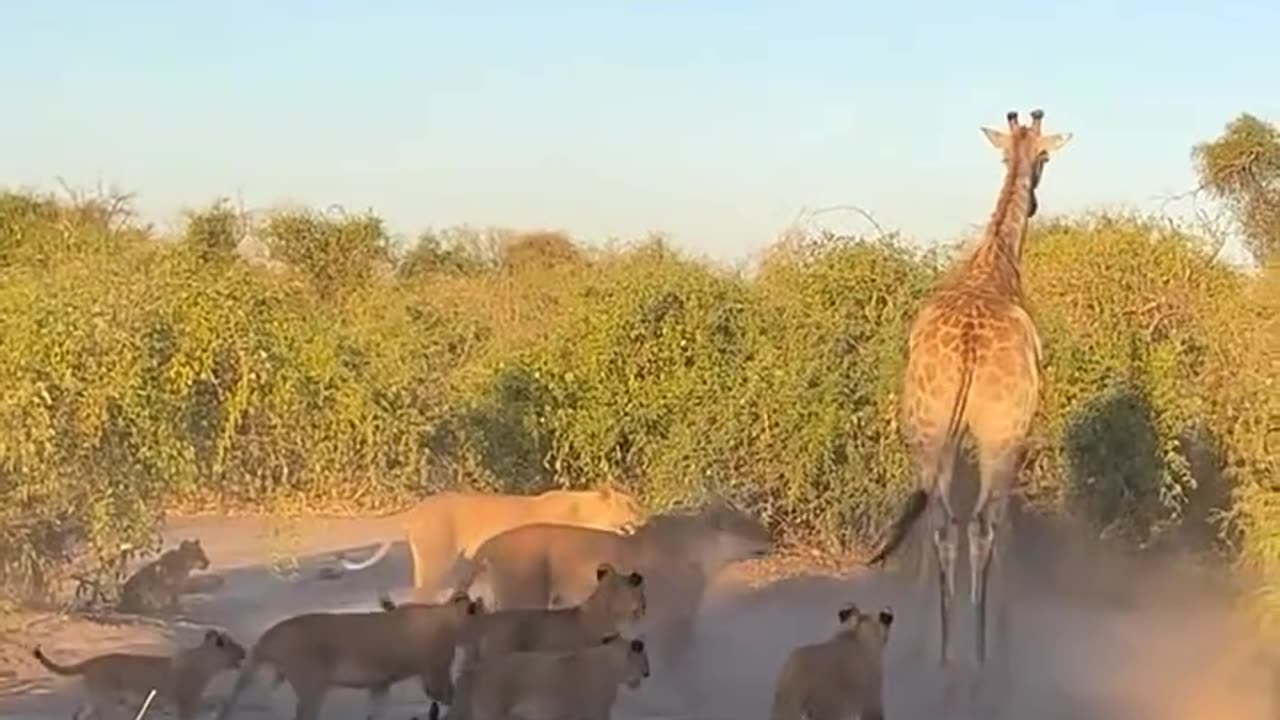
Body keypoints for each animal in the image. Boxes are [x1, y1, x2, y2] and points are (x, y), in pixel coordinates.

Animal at [32, 628, 246, 720]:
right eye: (235, 646)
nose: (244, 651)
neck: (206, 661)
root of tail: (90, 661)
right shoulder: (187, 700)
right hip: (106, 698)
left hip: (95, 697)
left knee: (78, 714)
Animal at [213, 591, 481, 720]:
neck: (446, 617)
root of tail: (268, 634)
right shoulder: (436, 672)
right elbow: (449, 694)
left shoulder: (380, 684)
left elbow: (376, 713)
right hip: (312, 687)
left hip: (278, 683)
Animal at [865, 109, 1072, 667]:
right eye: (1044, 157)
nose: (1037, 199)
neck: (993, 263)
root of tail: (969, 348)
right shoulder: (1015, 435)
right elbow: (1004, 527)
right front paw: (1004, 636)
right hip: (1000, 434)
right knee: (980, 523)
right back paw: (981, 658)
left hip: (927, 429)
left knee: (938, 521)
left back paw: (936, 650)